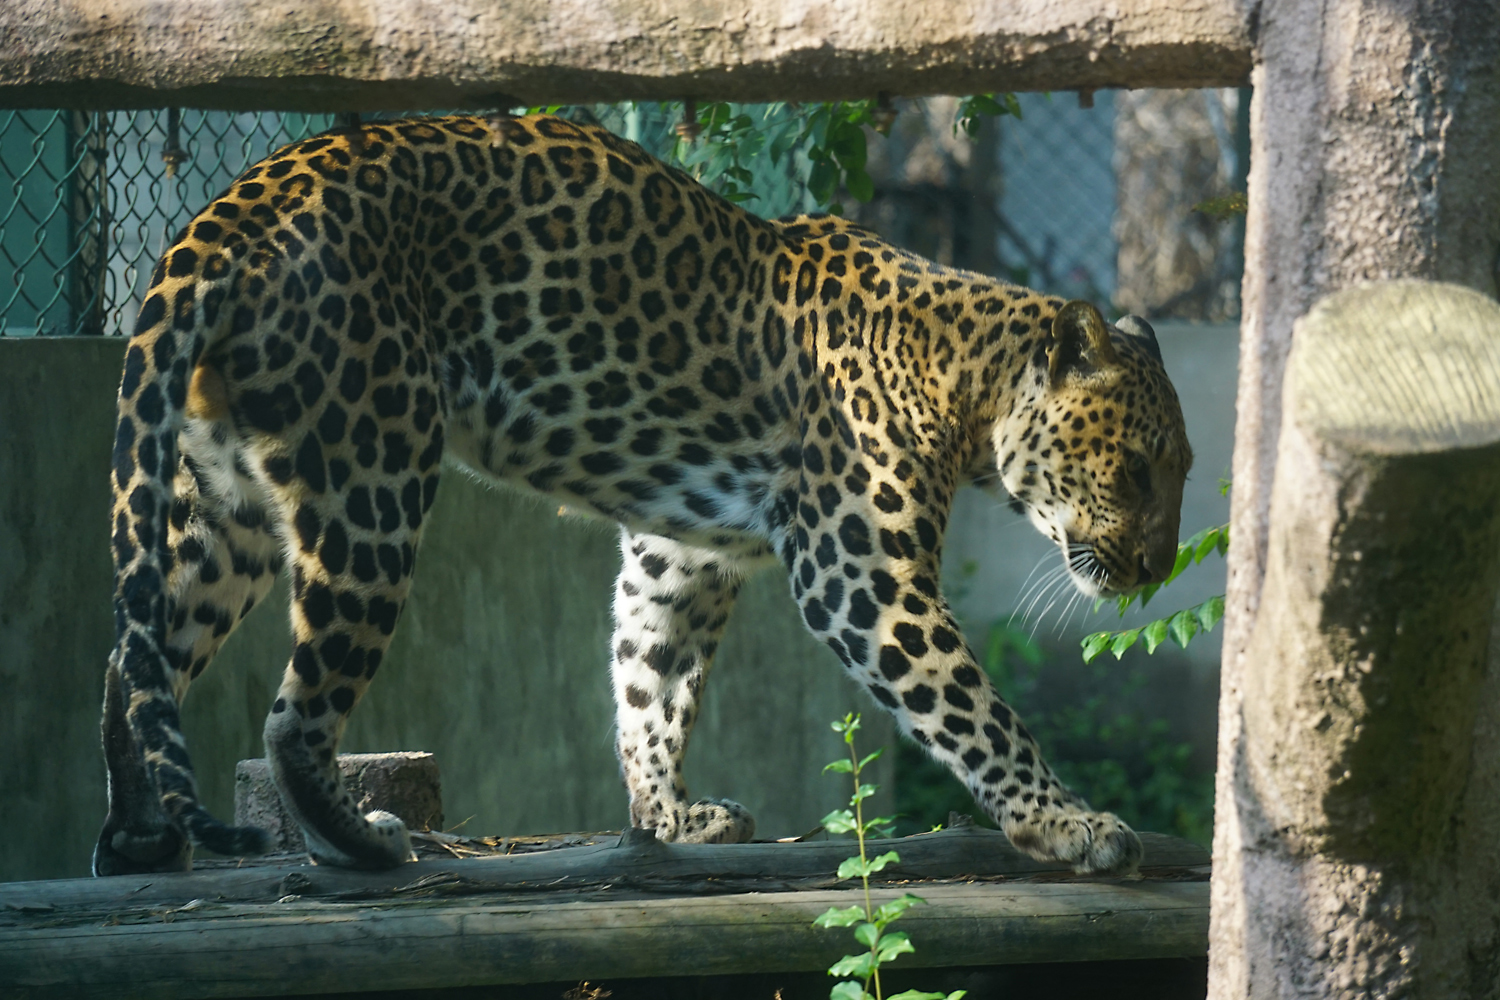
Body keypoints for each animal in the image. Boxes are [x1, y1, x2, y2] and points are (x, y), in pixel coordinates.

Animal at [93, 112, 1191, 878]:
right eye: (1138, 468)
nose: (1155, 566)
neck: (967, 379)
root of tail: (232, 210)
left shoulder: (682, 557)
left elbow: (649, 683)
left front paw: (668, 819)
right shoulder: (860, 573)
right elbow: (973, 707)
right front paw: (1068, 823)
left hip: (228, 504)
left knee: (133, 657)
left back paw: (139, 837)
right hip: (373, 479)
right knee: (292, 711)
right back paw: (360, 841)